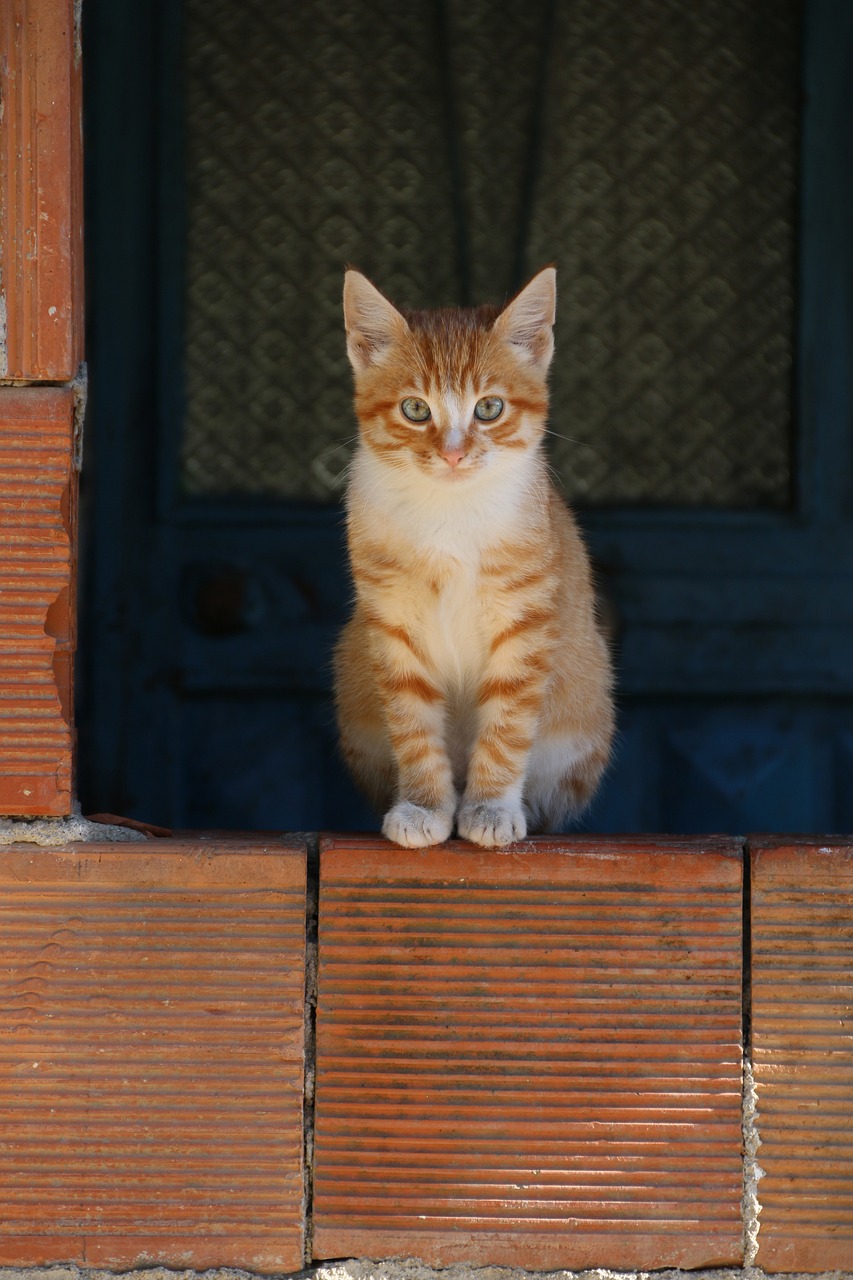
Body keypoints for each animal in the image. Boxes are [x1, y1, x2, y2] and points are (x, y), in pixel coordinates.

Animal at [333, 267, 612, 849]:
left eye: (489, 408)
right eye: (416, 409)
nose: (454, 453)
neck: (450, 512)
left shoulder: (525, 621)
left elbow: (507, 724)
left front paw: (489, 807)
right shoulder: (392, 621)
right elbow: (413, 722)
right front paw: (423, 806)